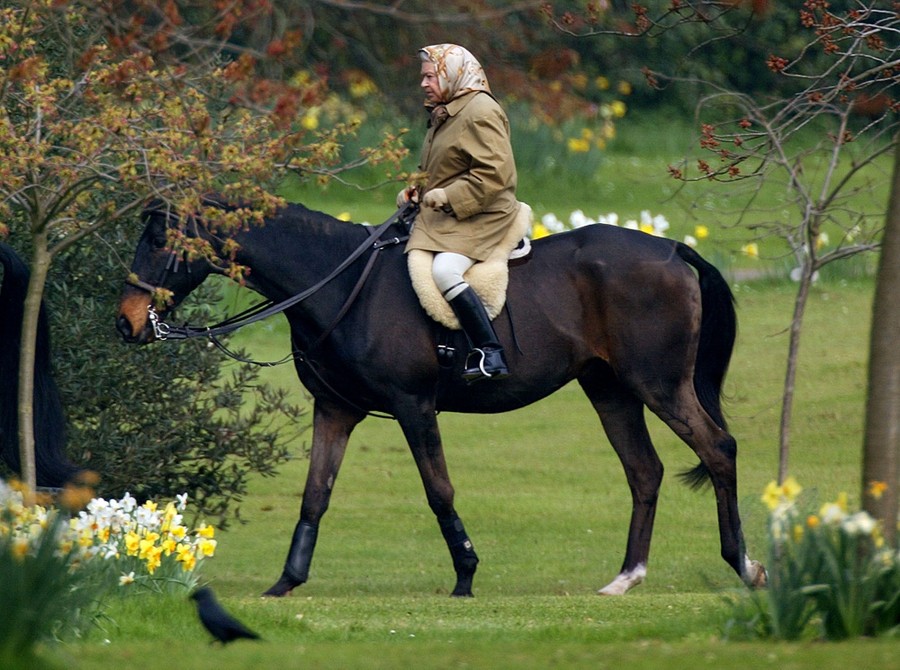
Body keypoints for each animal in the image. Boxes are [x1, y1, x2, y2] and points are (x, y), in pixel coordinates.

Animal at [116, 200, 766, 597]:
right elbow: (315, 496)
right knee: (644, 471)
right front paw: (286, 582)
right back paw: (626, 578)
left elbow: (438, 491)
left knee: (718, 450)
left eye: (159, 238)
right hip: (610, 390)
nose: (126, 323)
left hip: (659, 385)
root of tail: (673, 250)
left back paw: (744, 565)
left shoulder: (413, 406)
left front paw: (466, 575)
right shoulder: (336, 411)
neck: (342, 285)